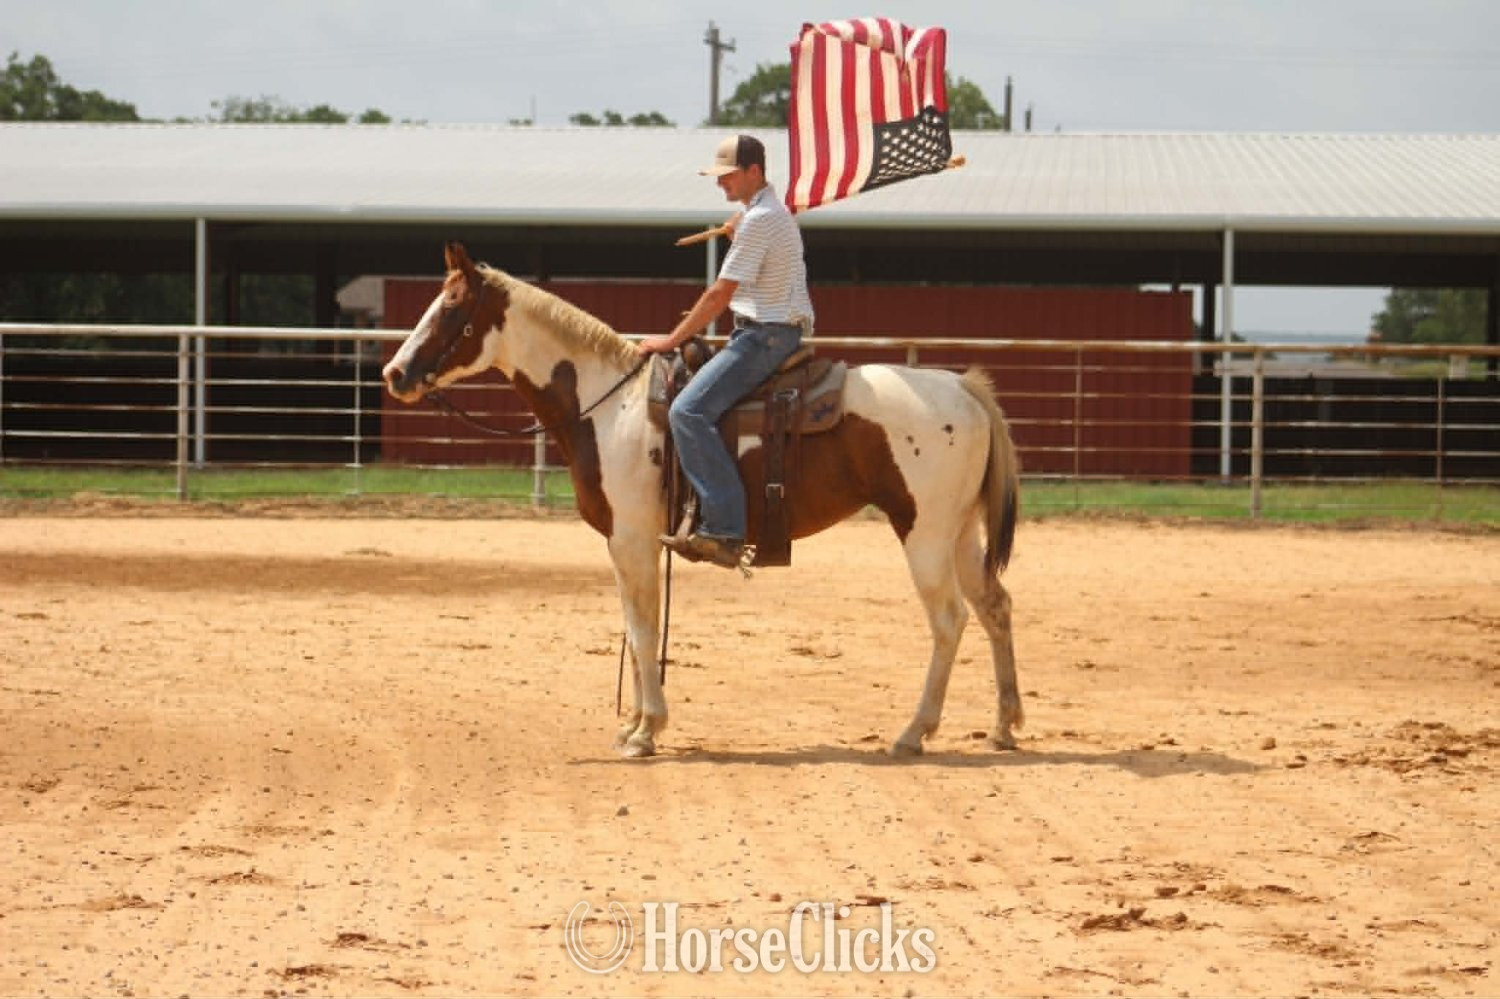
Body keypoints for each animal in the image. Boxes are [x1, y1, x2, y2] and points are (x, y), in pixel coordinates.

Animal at [382, 242, 1023, 759]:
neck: (609, 405)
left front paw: (646, 732)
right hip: (960, 534)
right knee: (994, 606)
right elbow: (635, 623)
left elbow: (643, 631)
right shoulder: (625, 542)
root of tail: (963, 387)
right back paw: (1004, 725)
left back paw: (914, 733)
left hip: (924, 533)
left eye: (451, 306)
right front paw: (635, 724)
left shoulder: (633, 537)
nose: (394, 373)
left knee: (950, 620)